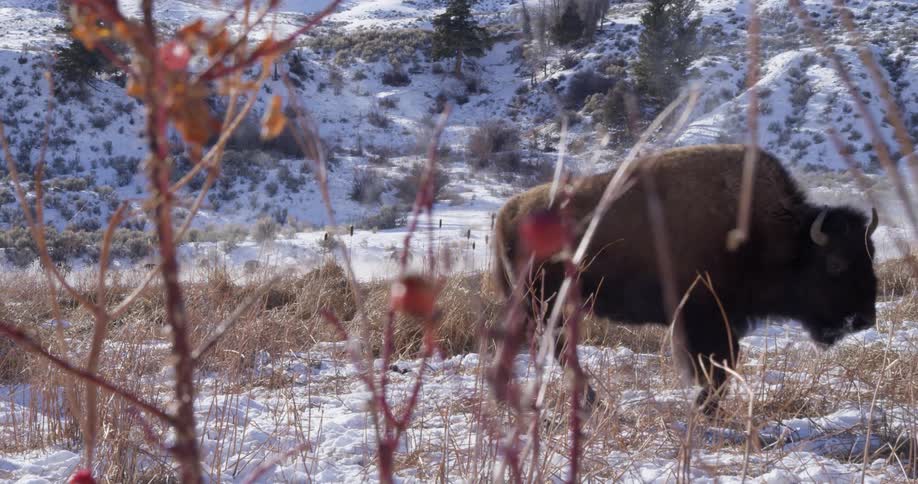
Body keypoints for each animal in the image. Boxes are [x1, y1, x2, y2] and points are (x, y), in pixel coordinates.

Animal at [492, 144, 879, 414]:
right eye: (835, 264)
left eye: (871, 255)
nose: (863, 319)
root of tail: (508, 212)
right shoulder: (700, 318)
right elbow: (716, 367)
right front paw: (703, 407)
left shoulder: (724, 321)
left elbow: (726, 363)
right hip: (545, 306)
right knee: (557, 350)